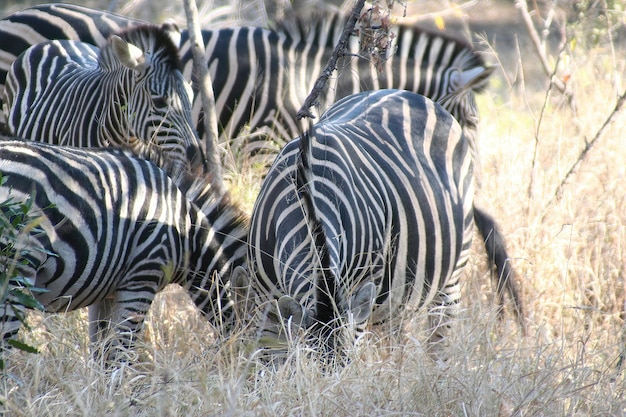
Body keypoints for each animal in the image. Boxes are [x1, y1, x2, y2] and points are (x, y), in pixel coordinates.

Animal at [0, 138, 249, 360]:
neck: (187, 231)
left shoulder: (105, 291)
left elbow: (102, 353)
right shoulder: (142, 279)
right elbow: (121, 354)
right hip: (17, 271)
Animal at [238, 88, 472, 354]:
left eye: (347, 363)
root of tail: (407, 93)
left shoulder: (358, 293)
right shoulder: (267, 299)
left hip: (452, 273)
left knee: (440, 334)